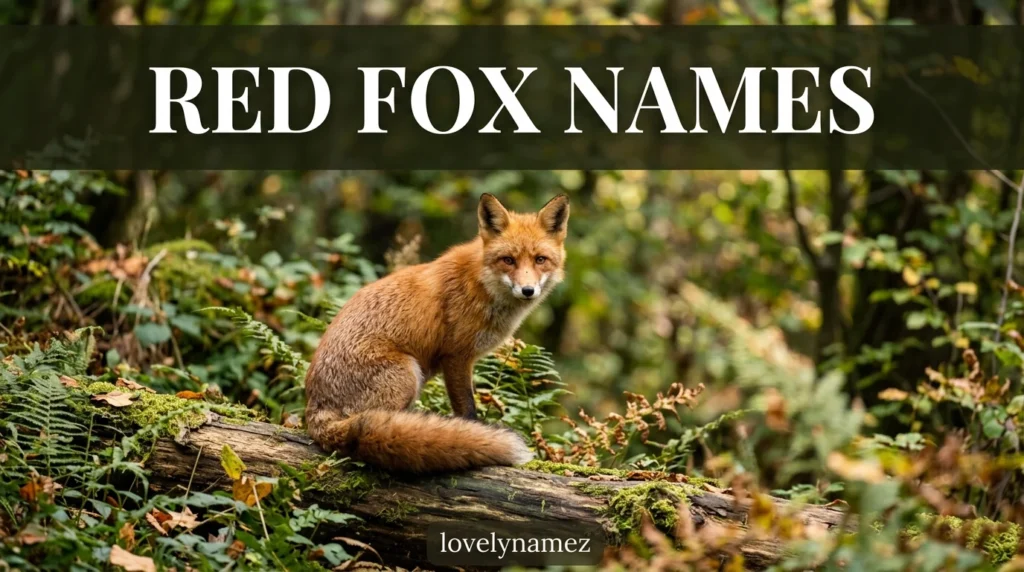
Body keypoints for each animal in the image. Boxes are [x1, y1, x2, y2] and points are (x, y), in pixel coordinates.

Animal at [304, 193, 570, 473]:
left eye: (540, 259)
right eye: (508, 260)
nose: (528, 290)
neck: (482, 284)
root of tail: (315, 411)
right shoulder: (456, 357)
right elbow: (467, 410)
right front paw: (474, 433)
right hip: (408, 375)